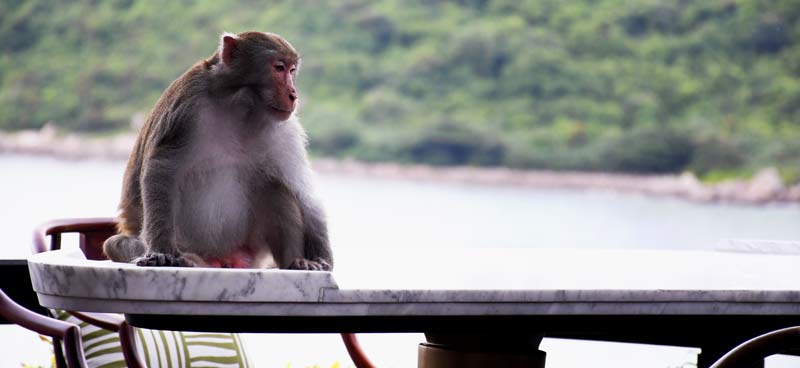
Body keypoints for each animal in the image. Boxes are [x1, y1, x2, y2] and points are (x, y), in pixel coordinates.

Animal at [102, 30, 332, 270]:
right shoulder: (188, 106)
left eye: (292, 70)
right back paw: (188, 260)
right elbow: (162, 169)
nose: (293, 94)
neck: (241, 107)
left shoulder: (283, 128)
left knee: (274, 188)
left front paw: (320, 259)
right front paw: (161, 251)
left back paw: (294, 262)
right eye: (279, 68)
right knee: (116, 244)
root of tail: (221, 259)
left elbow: (303, 190)